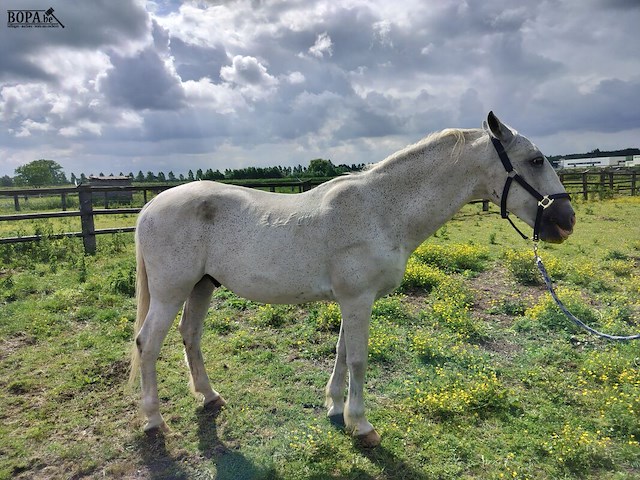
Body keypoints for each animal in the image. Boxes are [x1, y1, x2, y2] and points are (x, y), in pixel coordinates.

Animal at [129, 111, 575, 447]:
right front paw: (361, 425)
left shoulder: (350, 300)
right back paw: (154, 420)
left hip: (202, 286)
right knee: (147, 343)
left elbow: (343, 353)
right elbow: (359, 358)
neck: (381, 210)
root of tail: (151, 205)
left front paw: (334, 407)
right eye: (536, 160)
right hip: (171, 293)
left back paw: (209, 397)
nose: (565, 221)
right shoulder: (358, 299)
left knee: (190, 336)